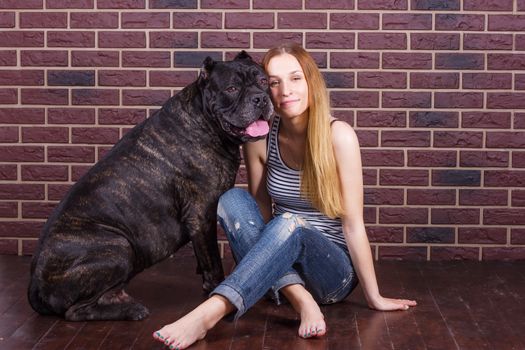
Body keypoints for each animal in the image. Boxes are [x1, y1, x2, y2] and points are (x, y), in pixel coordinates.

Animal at [27, 50, 274, 322]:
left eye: (264, 82)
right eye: (231, 88)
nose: (260, 98)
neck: (205, 122)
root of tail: (35, 286)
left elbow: (203, 255)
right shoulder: (201, 213)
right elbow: (212, 259)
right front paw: (214, 287)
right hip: (118, 247)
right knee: (75, 311)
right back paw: (131, 310)